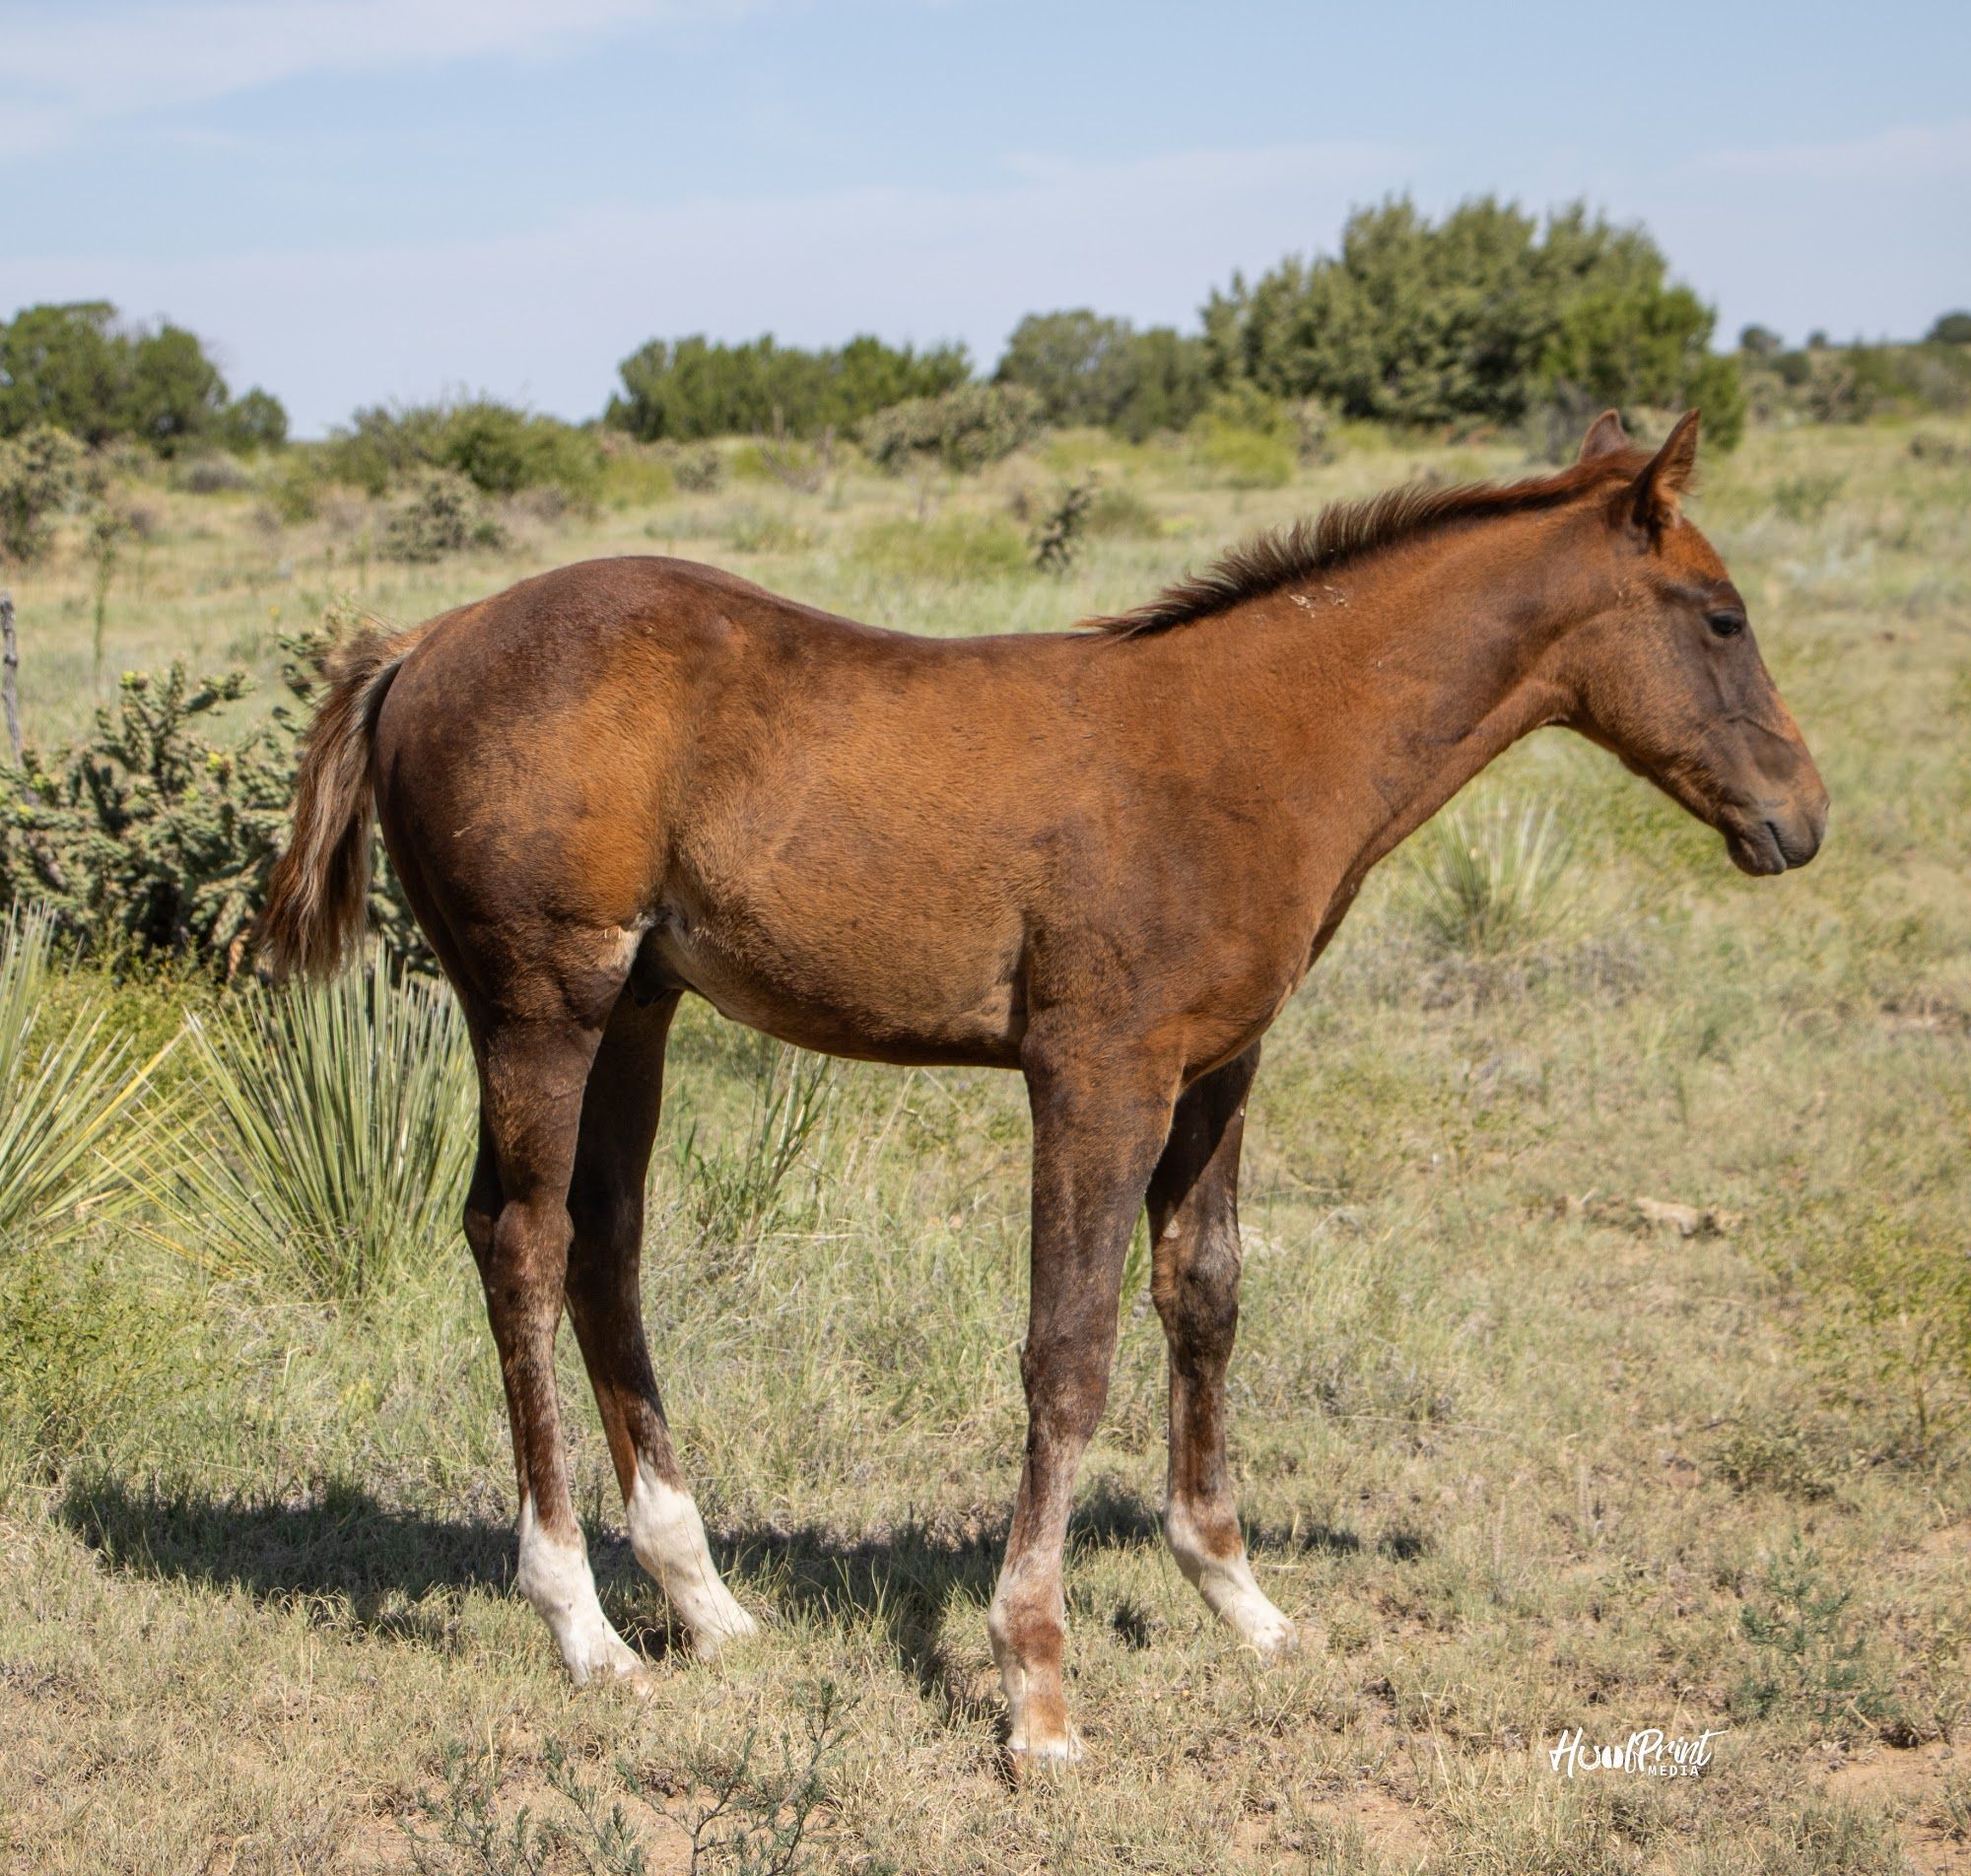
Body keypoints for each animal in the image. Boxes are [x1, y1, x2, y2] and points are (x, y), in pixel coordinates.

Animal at [260, 409, 1826, 1762]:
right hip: (541, 1004)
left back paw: (705, 1601)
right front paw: (1037, 1686)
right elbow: (1067, 1353)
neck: (1259, 737)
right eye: (1723, 616)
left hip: (639, 1008)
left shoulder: (1219, 1066)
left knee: (607, 1248)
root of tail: (425, 639)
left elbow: (1205, 1298)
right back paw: (583, 1624)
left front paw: (1242, 1598)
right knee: (520, 1243)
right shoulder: (1097, 1071)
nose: (1801, 819)